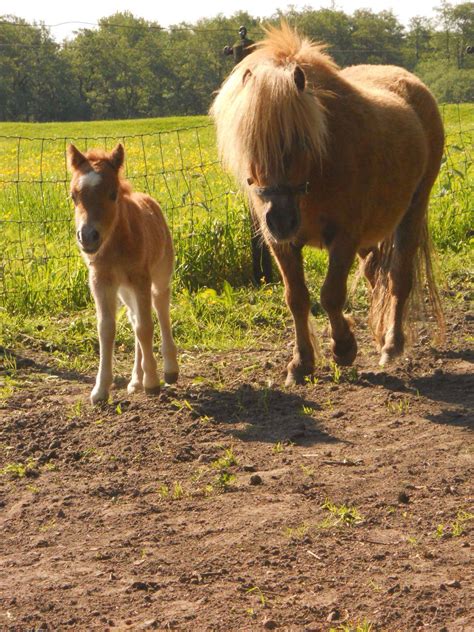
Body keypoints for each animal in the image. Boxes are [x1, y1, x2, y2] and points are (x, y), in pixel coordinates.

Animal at [66, 144, 178, 404]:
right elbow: (107, 329)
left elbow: (146, 326)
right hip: (125, 290)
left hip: (159, 275)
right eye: (74, 196)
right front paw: (100, 391)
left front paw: (152, 382)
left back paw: (169, 370)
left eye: (112, 194)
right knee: (134, 318)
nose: (88, 237)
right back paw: (136, 380)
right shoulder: (100, 281)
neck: (115, 245)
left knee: (161, 308)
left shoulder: (140, 278)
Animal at [211, 23, 444, 386]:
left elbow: (331, 294)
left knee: (398, 277)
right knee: (375, 275)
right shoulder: (283, 246)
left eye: (300, 141)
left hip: (413, 210)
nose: (280, 220)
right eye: (249, 144)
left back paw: (392, 345)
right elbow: (297, 298)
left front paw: (344, 348)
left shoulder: (344, 236)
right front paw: (301, 363)